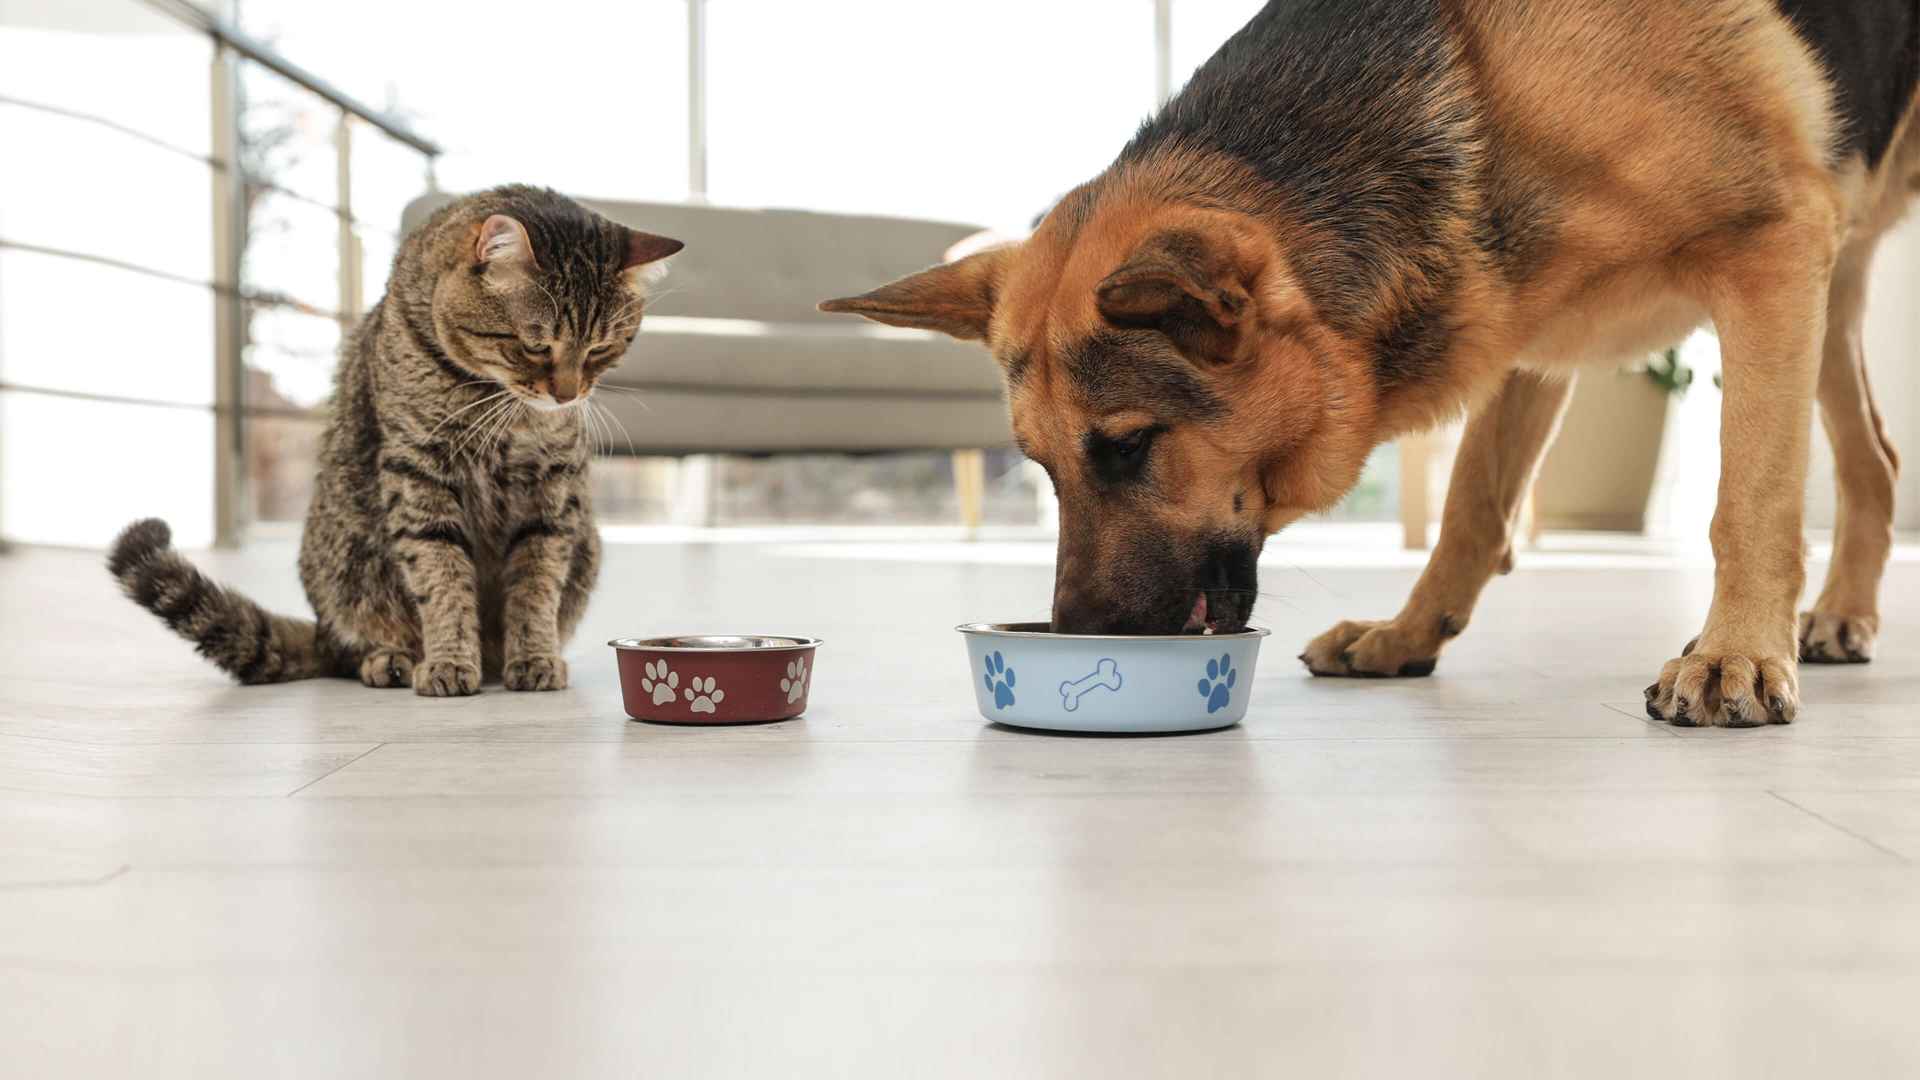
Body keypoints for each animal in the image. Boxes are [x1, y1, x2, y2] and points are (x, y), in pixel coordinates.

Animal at [110, 181, 683, 691]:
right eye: (535, 346)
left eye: (601, 349)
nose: (567, 395)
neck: (499, 406)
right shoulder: (418, 474)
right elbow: (442, 577)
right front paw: (449, 660)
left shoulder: (551, 490)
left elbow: (536, 584)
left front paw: (534, 657)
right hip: (347, 558)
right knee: (352, 645)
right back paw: (392, 659)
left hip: (586, 537)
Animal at [825, 0, 1920, 726]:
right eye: (1042, 468)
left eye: (1129, 446)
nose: (1081, 636)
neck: (1484, 77)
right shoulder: (1526, 336)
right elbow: (1472, 512)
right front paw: (1406, 636)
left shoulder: (1769, 253)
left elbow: (1753, 498)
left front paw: (1736, 654)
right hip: (1824, 301)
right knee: (1876, 459)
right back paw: (1838, 616)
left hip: (1808, 286)